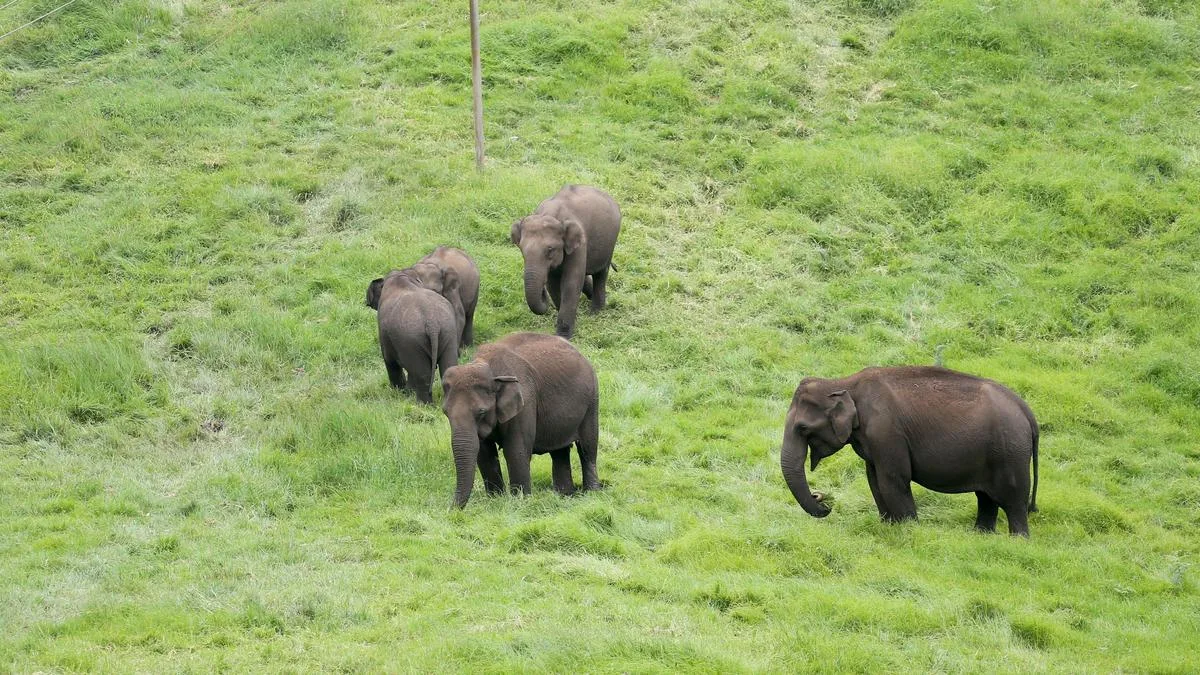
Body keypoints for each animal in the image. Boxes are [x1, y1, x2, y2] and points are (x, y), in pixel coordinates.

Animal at [365, 269, 459, 403]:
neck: (402, 277)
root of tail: (432, 323)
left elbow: (389, 360)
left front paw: (400, 391)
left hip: (411, 340)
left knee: (422, 374)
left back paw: (423, 404)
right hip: (448, 331)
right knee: (448, 366)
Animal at [441, 332, 600, 507]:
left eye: (481, 412)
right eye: (445, 412)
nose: (451, 509)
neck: (487, 365)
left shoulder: (525, 401)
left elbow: (516, 451)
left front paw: (520, 501)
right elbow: (484, 453)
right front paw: (495, 501)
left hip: (592, 401)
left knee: (587, 447)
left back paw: (591, 492)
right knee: (560, 450)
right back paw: (565, 495)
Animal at [511, 185, 621, 340]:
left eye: (550, 249)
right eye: (521, 249)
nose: (542, 291)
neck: (551, 215)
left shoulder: (580, 244)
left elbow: (571, 282)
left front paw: (563, 336)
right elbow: (553, 284)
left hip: (610, 243)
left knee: (601, 273)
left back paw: (595, 312)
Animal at [781, 366, 1040, 536]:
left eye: (802, 428)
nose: (824, 500)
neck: (845, 383)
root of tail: (1026, 410)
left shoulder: (887, 432)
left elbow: (893, 480)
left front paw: (909, 530)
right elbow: (874, 480)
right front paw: (888, 527)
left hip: (1010, 453)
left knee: (1014, 500)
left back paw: (1018, 540)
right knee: (985, 498)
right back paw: (980, 535)